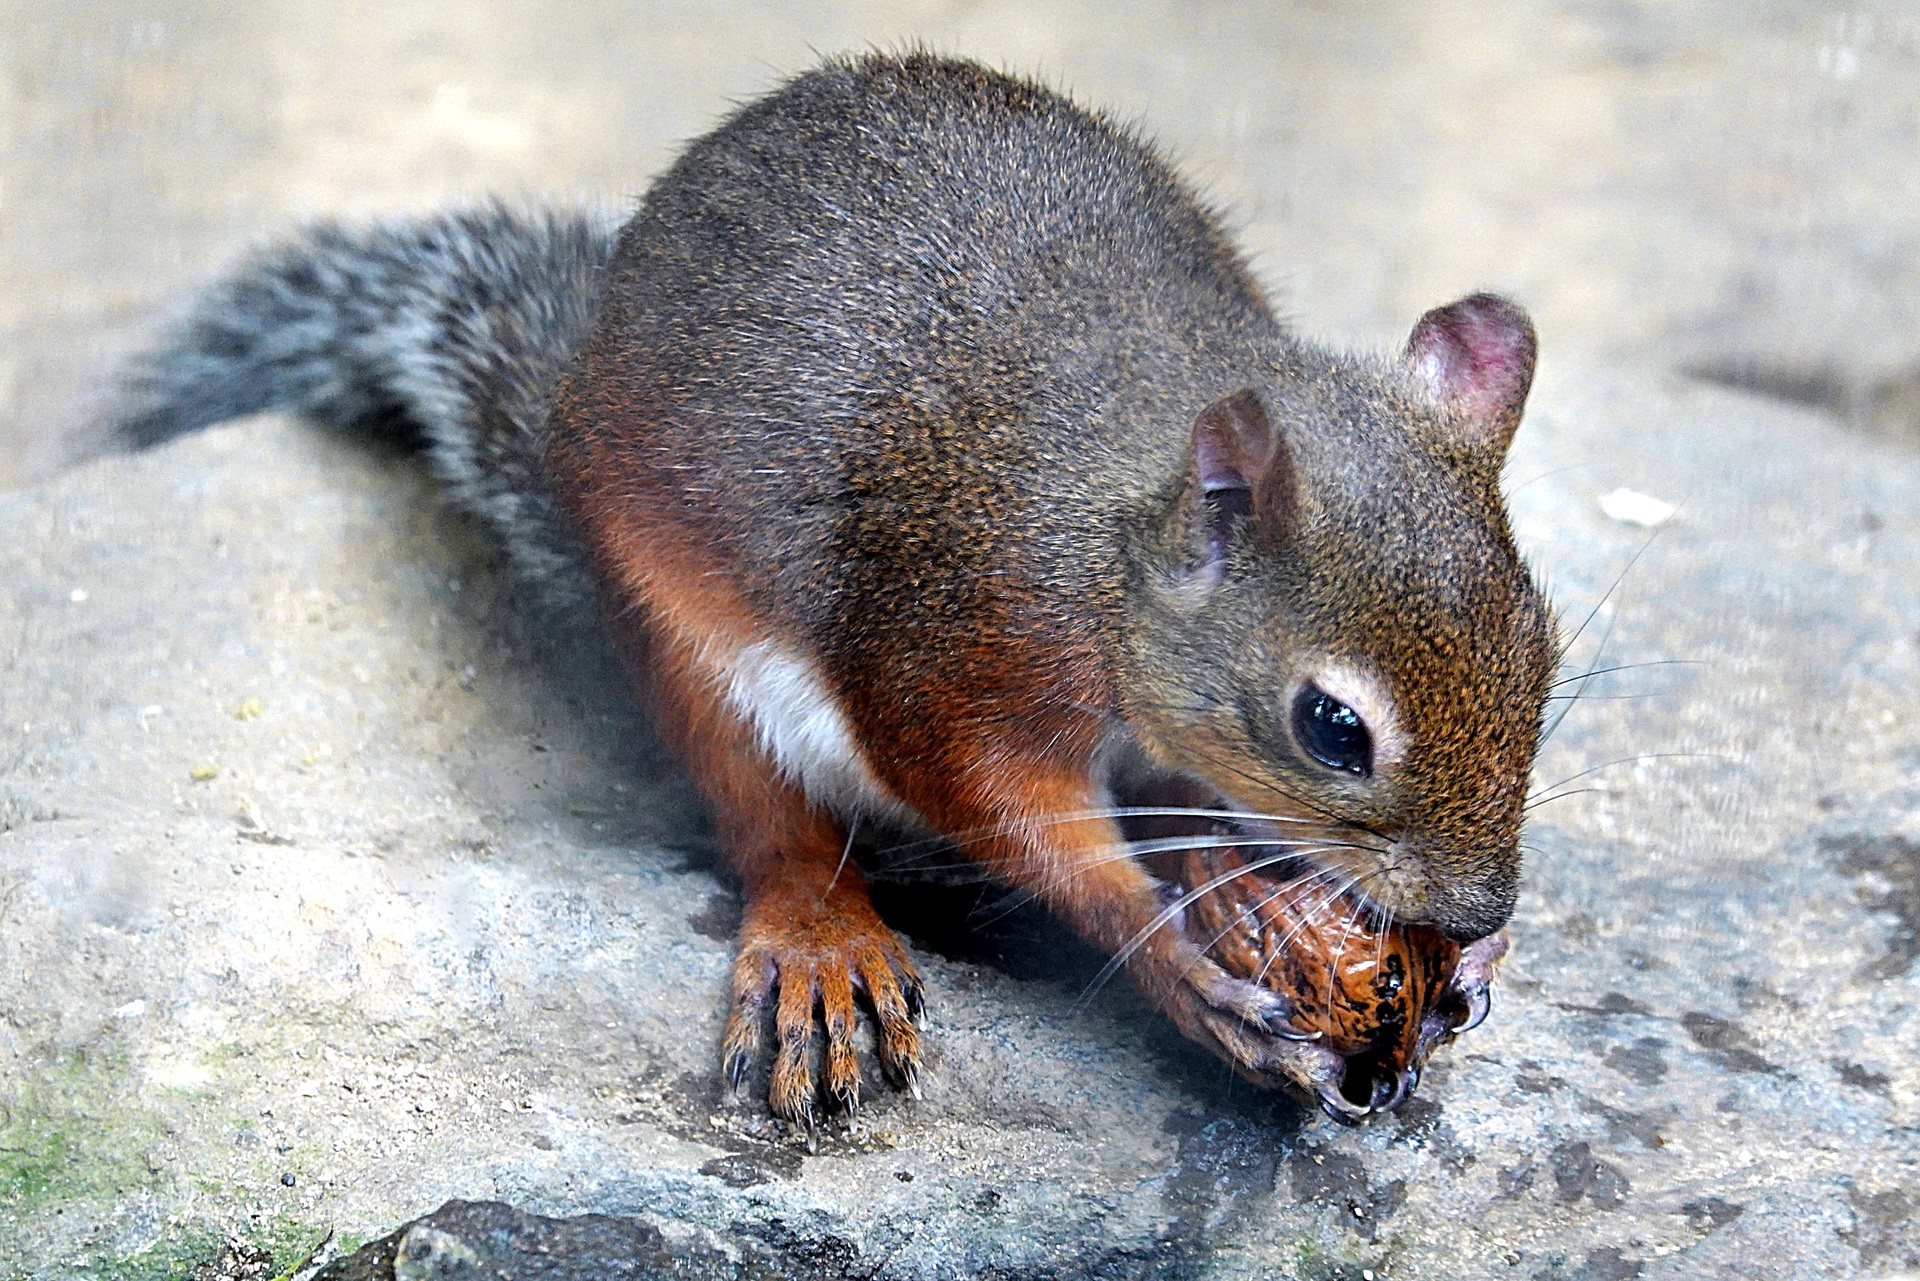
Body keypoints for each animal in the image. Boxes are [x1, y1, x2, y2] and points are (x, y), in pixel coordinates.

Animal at [112, 55, 1559, 1129]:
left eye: (1543, 651)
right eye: (1332, 726)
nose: (1480, 911)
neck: (1113, 552)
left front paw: (1412, 951)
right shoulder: (954, 646)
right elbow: (996, 807)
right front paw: (1172, 954)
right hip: (684, 643)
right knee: (770, 824)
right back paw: (819, 938)